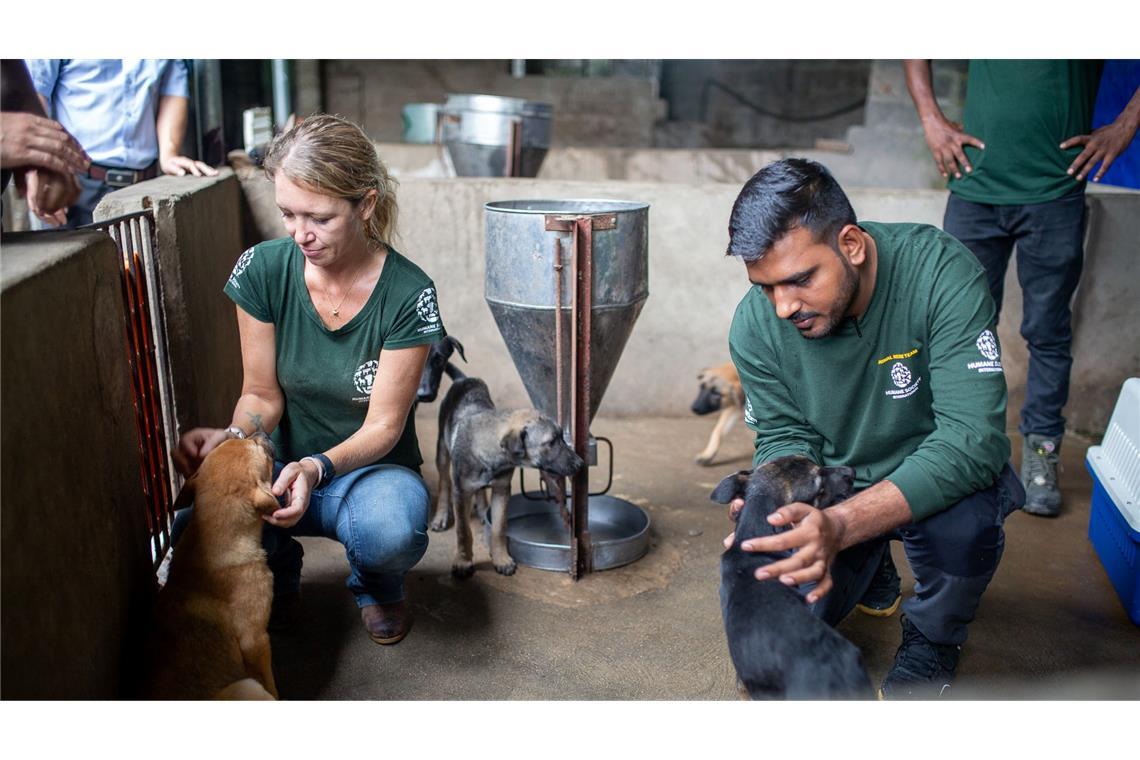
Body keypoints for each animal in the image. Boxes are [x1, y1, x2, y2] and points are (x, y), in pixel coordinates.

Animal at [430, 373, 583, 576]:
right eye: (551, 442)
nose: (580, 464)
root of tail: (465, 378)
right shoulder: (461, 493)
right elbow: (463, 530)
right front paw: (463, 561)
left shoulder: (502, 490)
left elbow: (499, 528)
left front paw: (501, 559)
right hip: (442, 449)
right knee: (444, 481)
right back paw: (441, 516)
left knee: (479, 490)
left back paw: (482, 508)